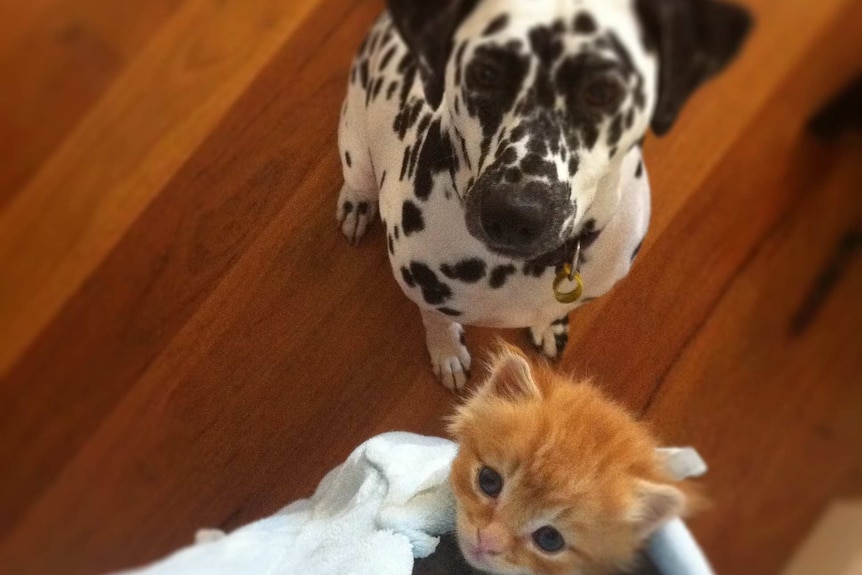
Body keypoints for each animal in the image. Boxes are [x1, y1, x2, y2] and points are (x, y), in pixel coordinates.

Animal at [334, 0, 752, 392]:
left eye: (602, 91)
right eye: (485, 73)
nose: (515, 213)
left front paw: (548, 326)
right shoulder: (423, 290)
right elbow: (436, 320)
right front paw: (447, 352)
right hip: (355, 143)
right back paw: (356, 204)